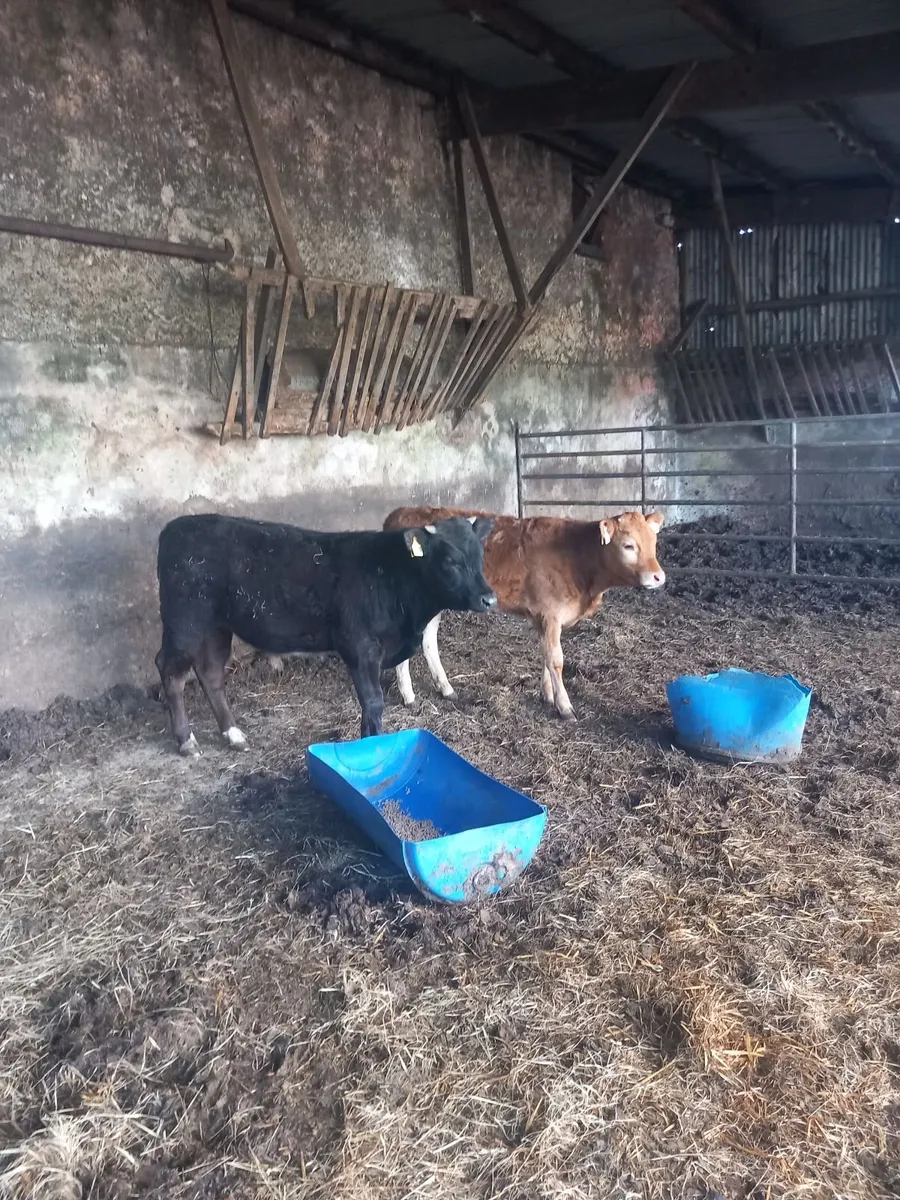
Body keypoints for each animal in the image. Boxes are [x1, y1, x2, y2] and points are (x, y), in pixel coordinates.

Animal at [155, 512, 495, 756]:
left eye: (480, 556)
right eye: (450, 561)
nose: (489, 599)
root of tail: (176, 526)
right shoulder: (359, 647)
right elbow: (373, 702)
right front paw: (370, 745)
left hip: (217, 627)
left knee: (210, 673)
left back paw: (233, 734)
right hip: (185, 623)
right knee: (170, 671)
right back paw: (186, 740)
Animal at [383, 507, 665, 721]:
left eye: (653, 544)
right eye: (628, 546)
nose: (658, 577)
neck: (578, 557)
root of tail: (401, 512)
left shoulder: (544, 618)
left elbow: (545, 656)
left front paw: (547, 695)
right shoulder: (551, 615)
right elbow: (556, 659)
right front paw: (565, 707)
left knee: (429, 640)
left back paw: (446, 689)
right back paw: (408, 696)